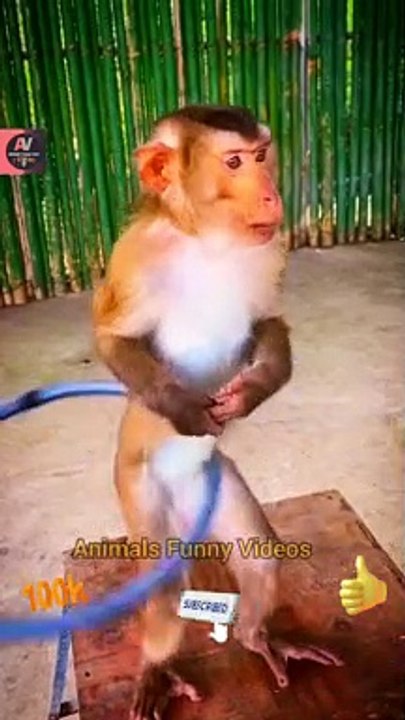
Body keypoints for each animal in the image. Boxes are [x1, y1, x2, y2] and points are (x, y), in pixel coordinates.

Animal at [92, 105, 342, 720]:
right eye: (233, 163)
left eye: (261, 156)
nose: (272, 194)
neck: (207, 244)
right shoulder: (136, 253)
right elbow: (113, 339)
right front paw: (184, 409)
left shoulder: (269, 251)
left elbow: (267, 323)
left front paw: (249, 393)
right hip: (142, 489)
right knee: (163, 589)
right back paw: (157, 670)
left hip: (215, 481)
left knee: (260, 557)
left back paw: (258, 638)